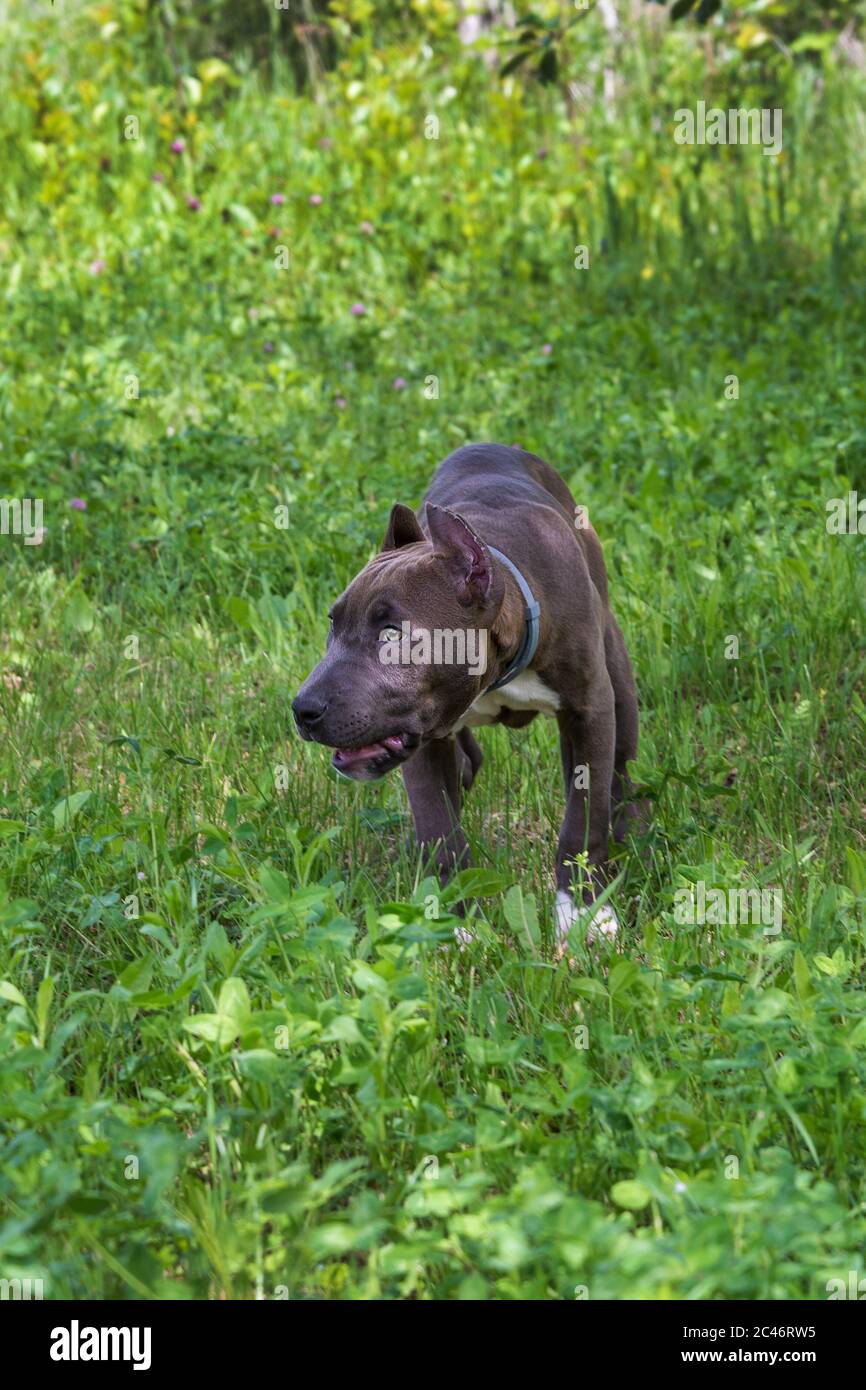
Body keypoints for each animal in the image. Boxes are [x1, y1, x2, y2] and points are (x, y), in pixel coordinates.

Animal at [294, 439, 639, 950]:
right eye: (333, 625)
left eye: (392, 633)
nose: (302, 709)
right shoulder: (421, 739)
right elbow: (440, 830)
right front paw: (454, 922)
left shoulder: (590, 711)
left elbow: (584, 817)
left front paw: (584, 913)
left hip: (616, 676)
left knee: (620, 771)